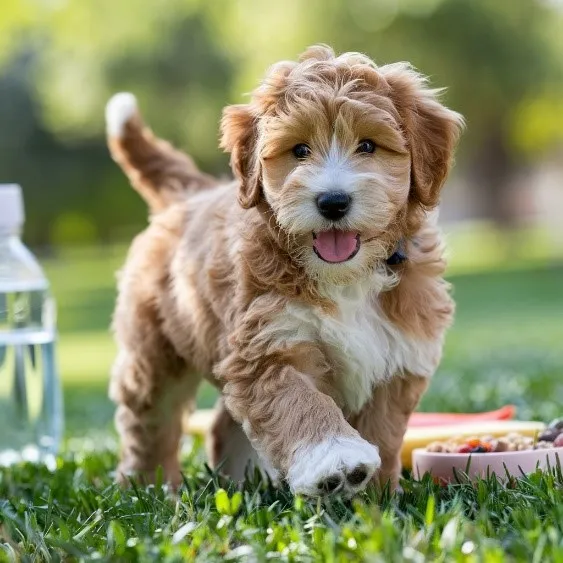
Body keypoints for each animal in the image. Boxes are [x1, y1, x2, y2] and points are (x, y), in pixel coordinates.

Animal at [104, 45, 462, 498]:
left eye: (368, 145)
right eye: (299, 150)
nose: (332, 201)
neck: (347, 277)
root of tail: (190, 195)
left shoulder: (398, 356)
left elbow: (383, 430)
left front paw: (377, 493)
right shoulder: (269, 343)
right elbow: (299, 402)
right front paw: (337, 462)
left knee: (221, 423)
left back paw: (241, 481)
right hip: (154, 351)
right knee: (150, 418)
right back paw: (146, 486)